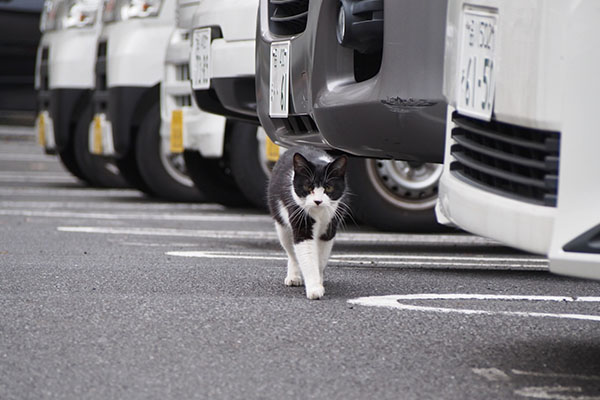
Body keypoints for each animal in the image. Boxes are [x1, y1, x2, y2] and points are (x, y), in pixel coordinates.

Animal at [268, 145, 350, 298]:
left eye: (328, 188)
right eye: (308, 187)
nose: (318, 201)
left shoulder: (329, 227)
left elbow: (321, 258)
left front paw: (319, 281)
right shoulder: (300, 218)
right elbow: (306, 254)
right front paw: (314, 288)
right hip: (282, 225)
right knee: (291, 252)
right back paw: (294, 277)